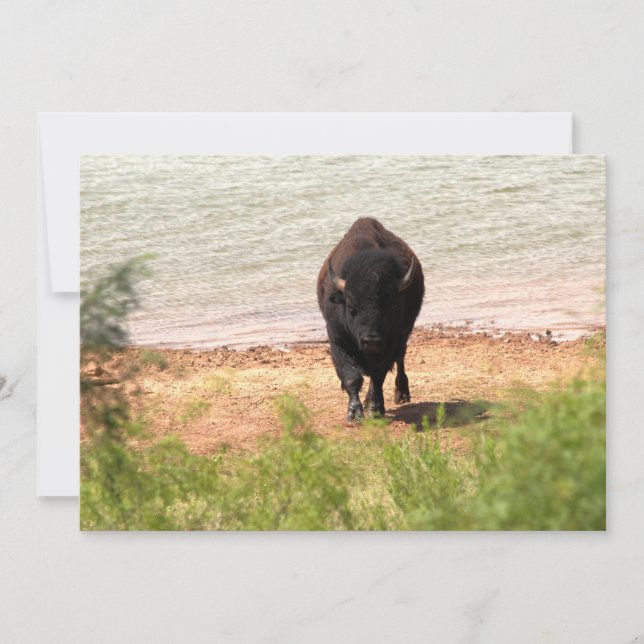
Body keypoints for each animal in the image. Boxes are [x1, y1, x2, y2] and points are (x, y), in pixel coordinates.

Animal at [317, 217, 425, 421]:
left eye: (391, 306)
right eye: (351, 307)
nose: (371, 340)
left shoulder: (390, 344)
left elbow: (378, 375)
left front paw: (375, 409)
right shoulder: (338, 341)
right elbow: (352, 377)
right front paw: (354, 413)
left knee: (400, 360)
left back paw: (401, 394)